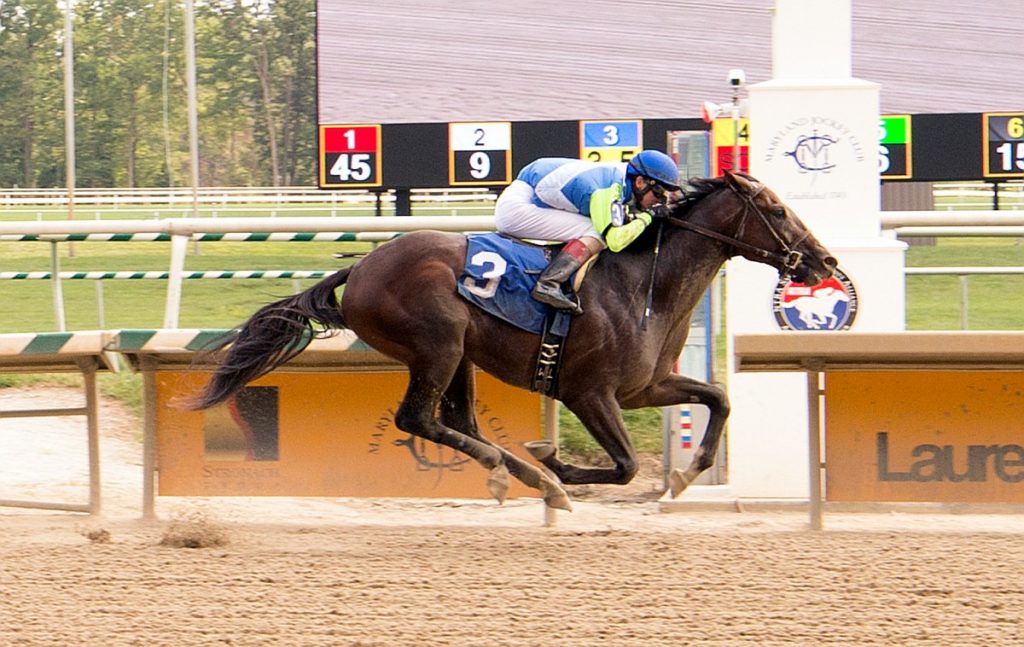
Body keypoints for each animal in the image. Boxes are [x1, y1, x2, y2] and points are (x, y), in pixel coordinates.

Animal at [189, 171, 837, 511]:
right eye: (776, 209)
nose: (824, 261)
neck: (642, 284)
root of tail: (363, 266)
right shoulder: (589, 393)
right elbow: (625, 465)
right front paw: (559, 463)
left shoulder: (643, 388)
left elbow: (718, 398)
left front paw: (684, 474)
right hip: (440, 345)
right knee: (417, 419)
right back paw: (529, 474)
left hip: (461, 356)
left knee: (457, 421)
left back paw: (527, 476)